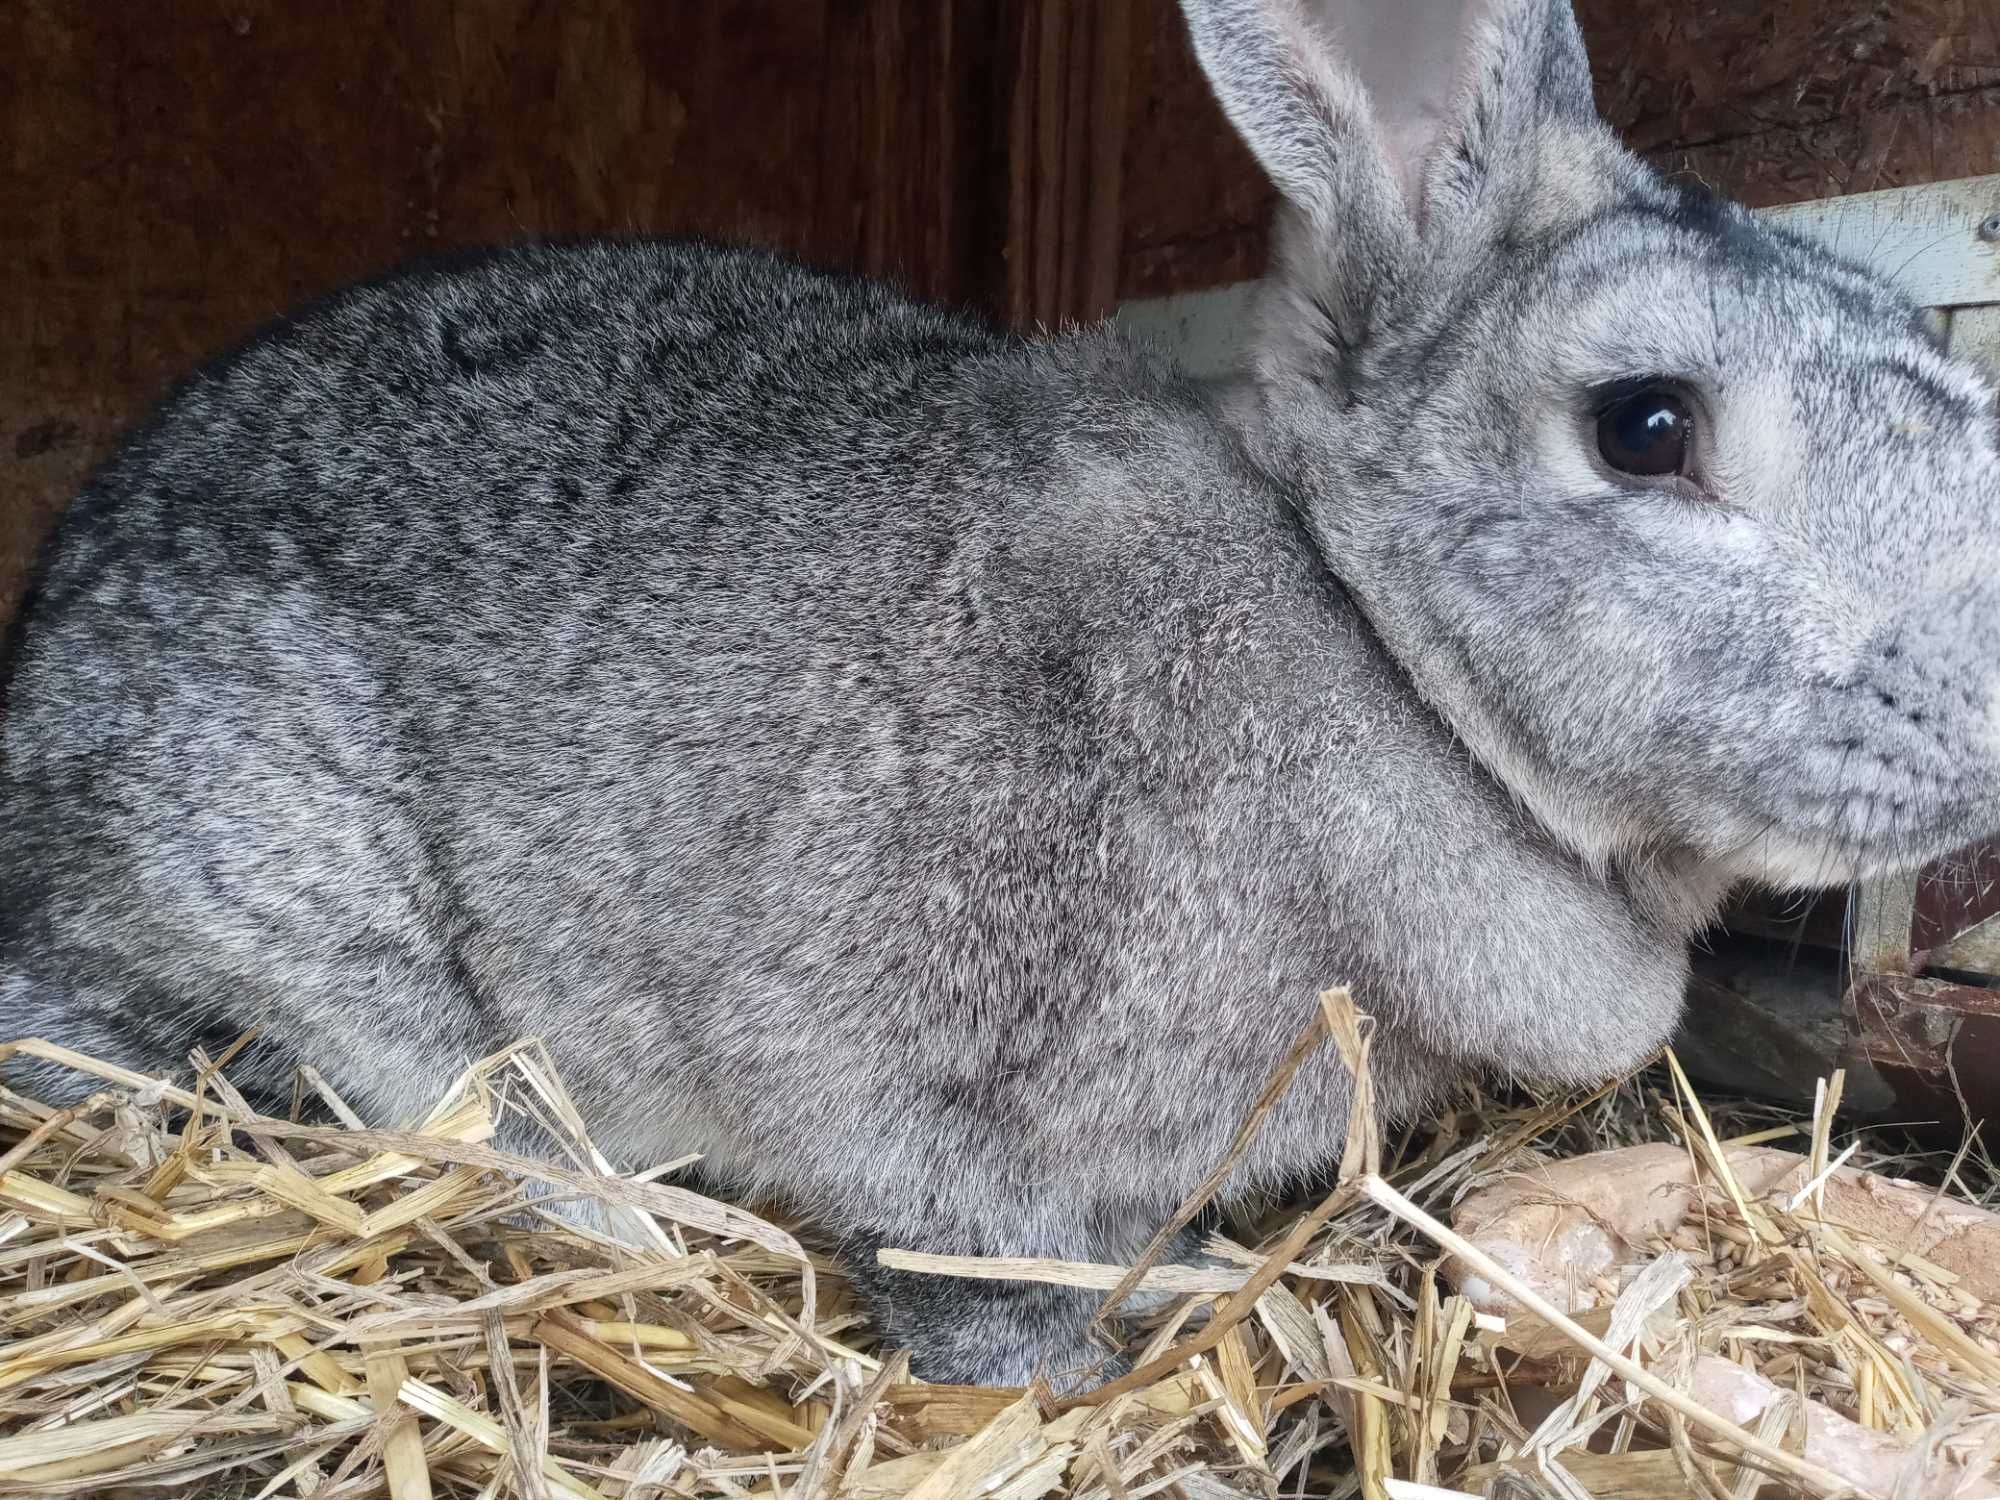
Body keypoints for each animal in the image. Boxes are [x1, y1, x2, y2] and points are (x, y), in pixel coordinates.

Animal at [3, 0, 2000, 1392]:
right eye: (1645, 425)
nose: (1991, 725)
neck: (1370, 645)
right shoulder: (941, 1085)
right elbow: (974, 1266)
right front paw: (1080, 1362)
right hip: (303, 933)